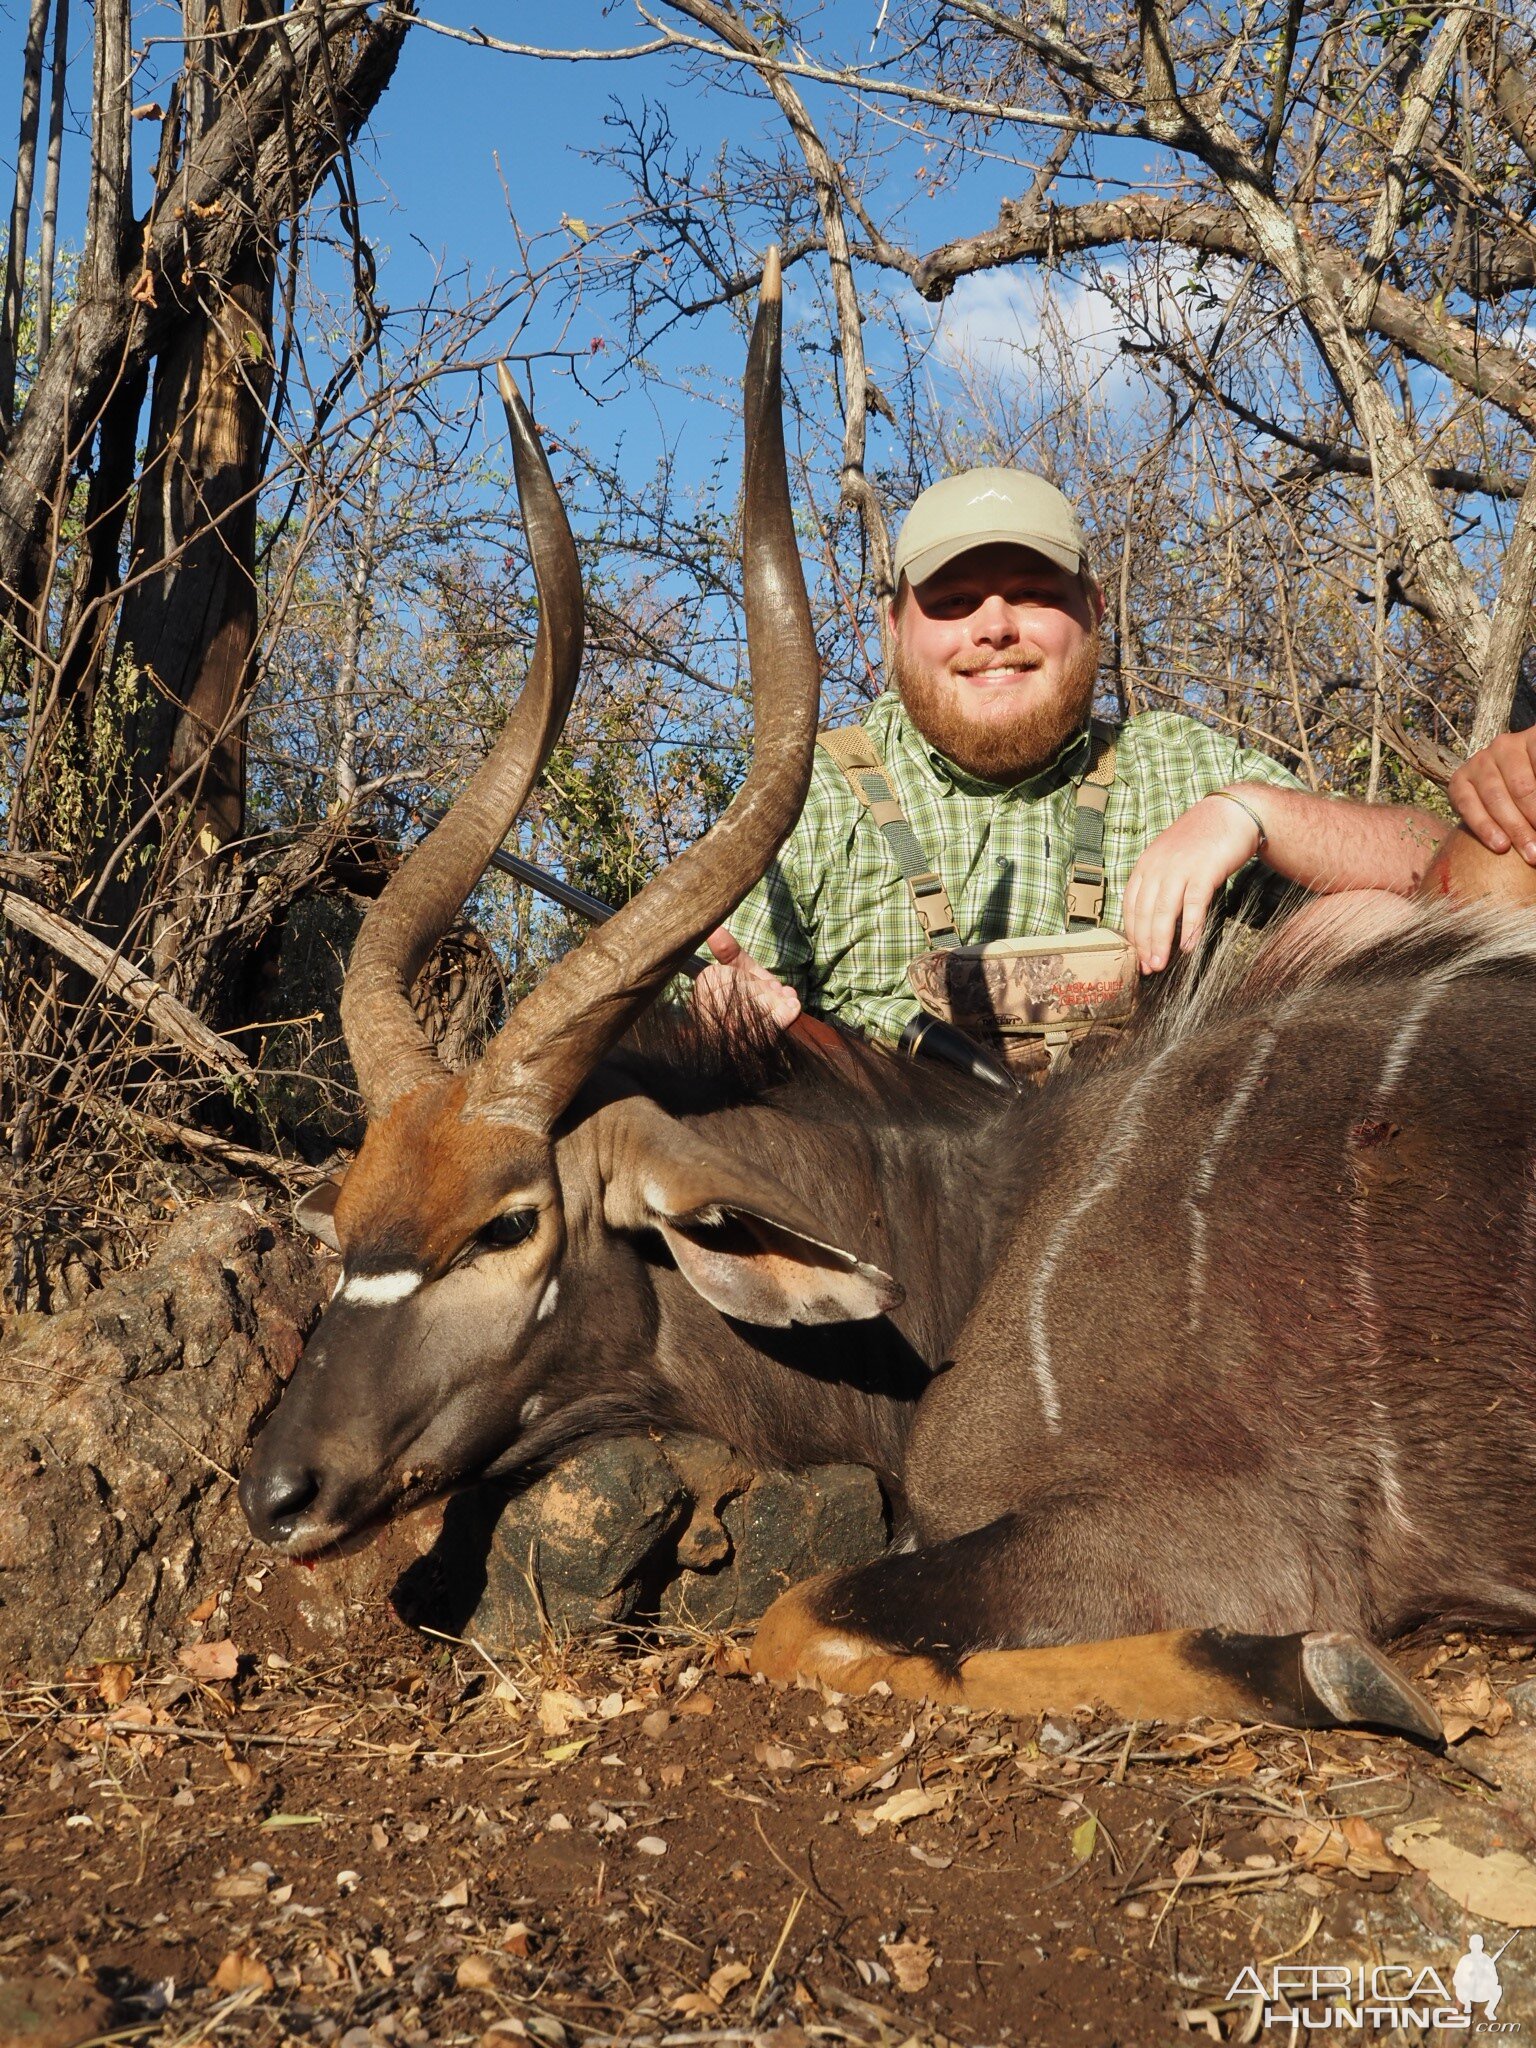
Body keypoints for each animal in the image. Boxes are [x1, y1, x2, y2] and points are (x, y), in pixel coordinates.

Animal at [240, 247, 1536, 1736]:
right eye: (348, 1217)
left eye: (508, 1225)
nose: (278, 1491)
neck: (980, 1236)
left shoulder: (1238, 1533)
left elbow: (807, 1618)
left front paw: (1333, 1673)